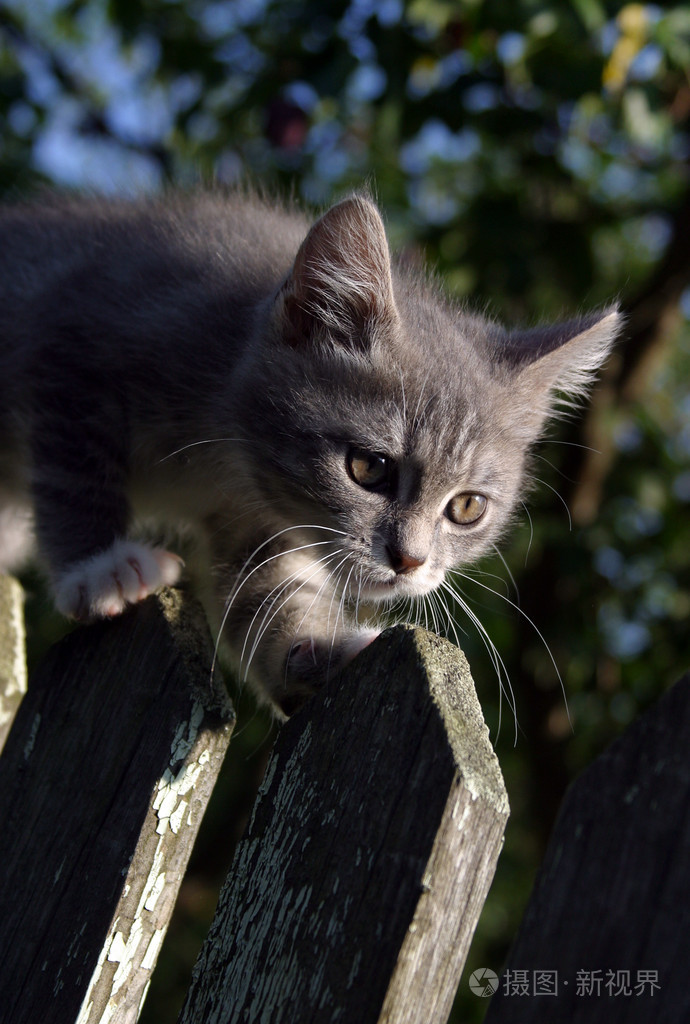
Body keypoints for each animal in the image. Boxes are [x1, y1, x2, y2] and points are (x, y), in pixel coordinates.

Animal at [0, 192, 618, 716]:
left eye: (467, 507)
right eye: (369, 467)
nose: (410, 561)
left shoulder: (256, 526)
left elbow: (265, 591)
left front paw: (317, 652)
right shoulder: (73, 336)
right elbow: (74, 471)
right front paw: (100, 566)